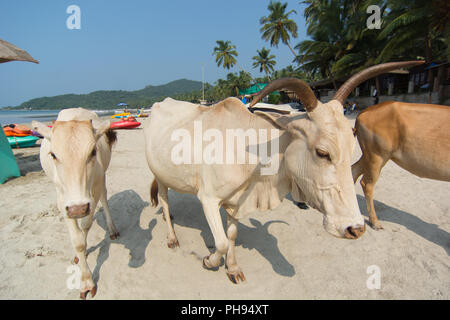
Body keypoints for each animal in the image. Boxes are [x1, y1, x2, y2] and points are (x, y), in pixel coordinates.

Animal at [33, 108, 118, 300]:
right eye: (53, 155)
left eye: (93, 152)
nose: (78, 208)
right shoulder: (63, 200)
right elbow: (77, 240)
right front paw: (85, 276)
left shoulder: (93, 193)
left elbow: (85, 226)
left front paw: (87, 280)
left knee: (104, 197)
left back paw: (112, 228)